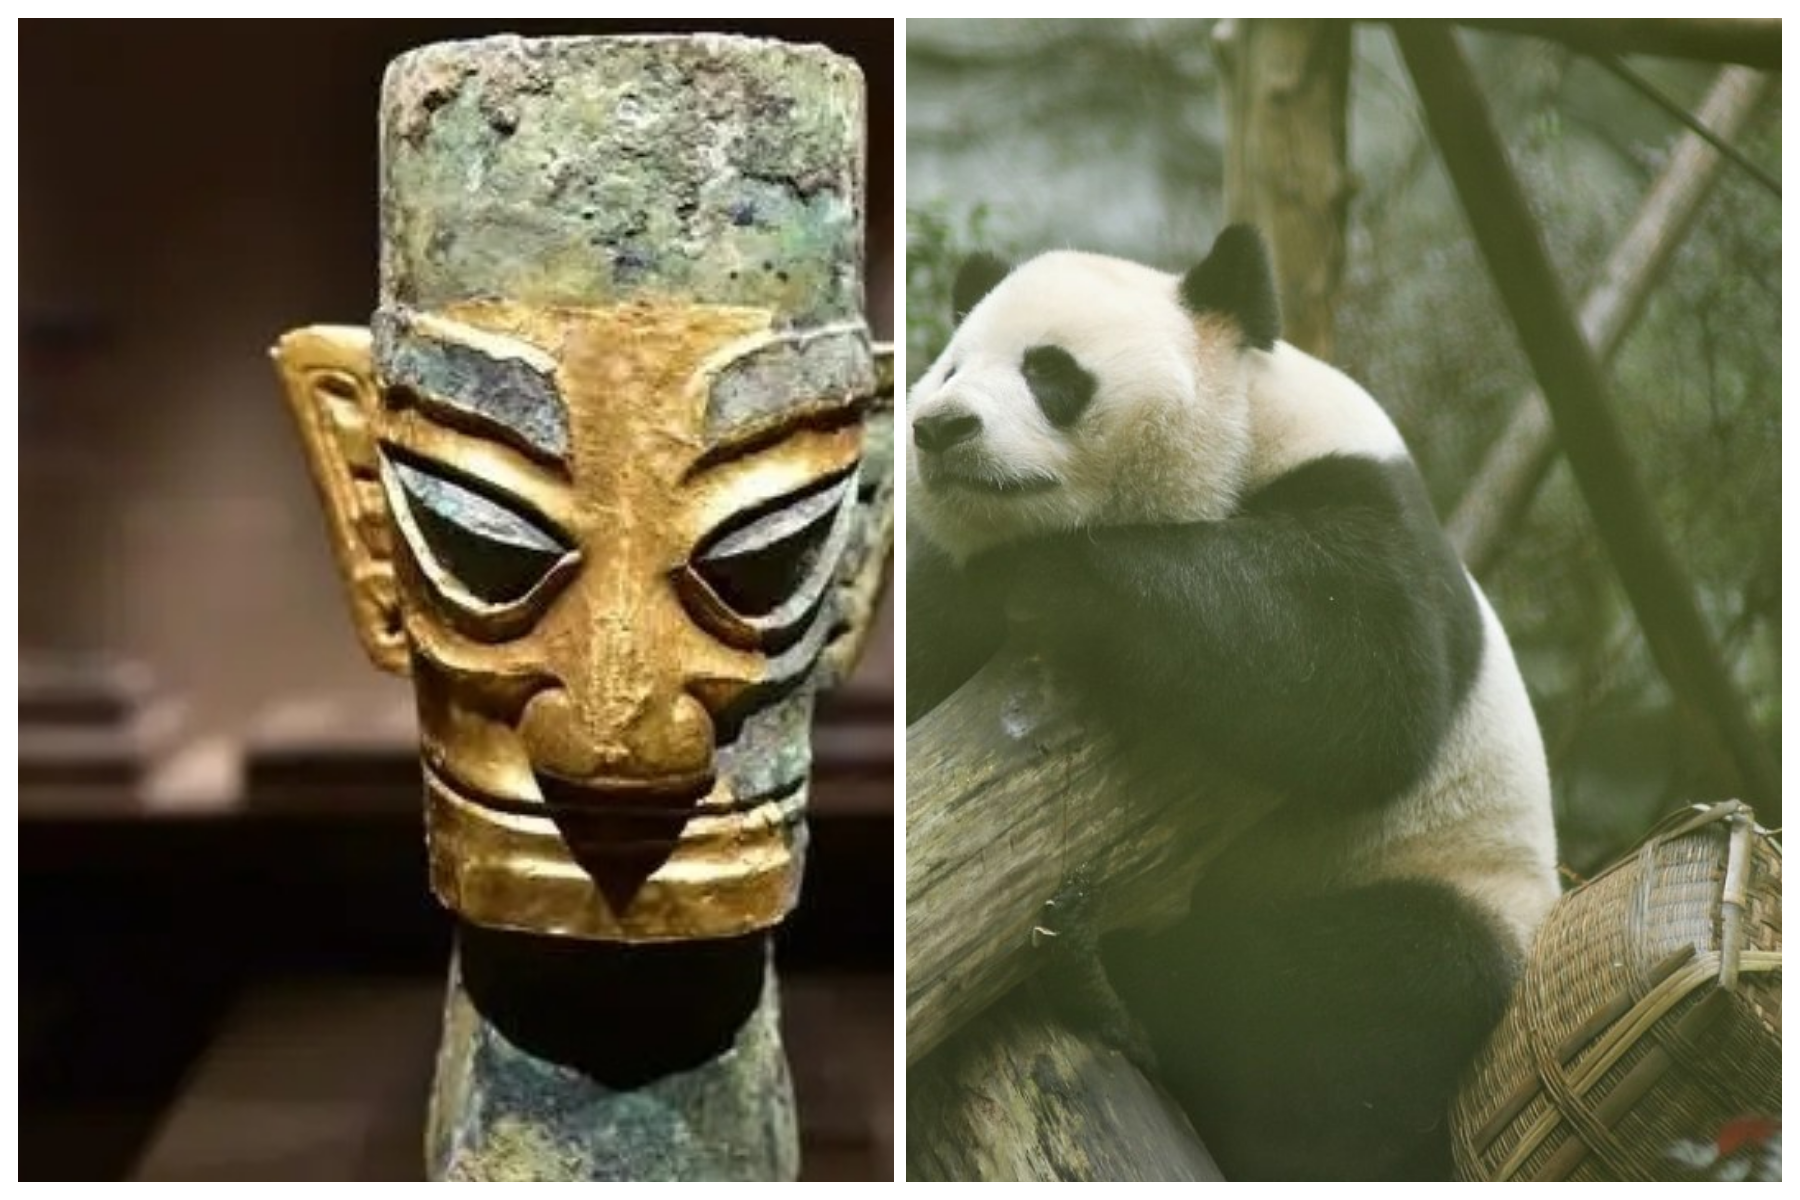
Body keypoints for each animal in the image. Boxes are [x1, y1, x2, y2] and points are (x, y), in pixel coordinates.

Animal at [906, 225, 1560, 1181]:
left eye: (1050, 371)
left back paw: (1104, 975)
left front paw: (1045, 578)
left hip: (1454, 875)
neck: (1238, 439)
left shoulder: (1363, 494)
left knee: (1367, 987)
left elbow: (1361, 662)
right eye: (950, 368)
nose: (940, 426)